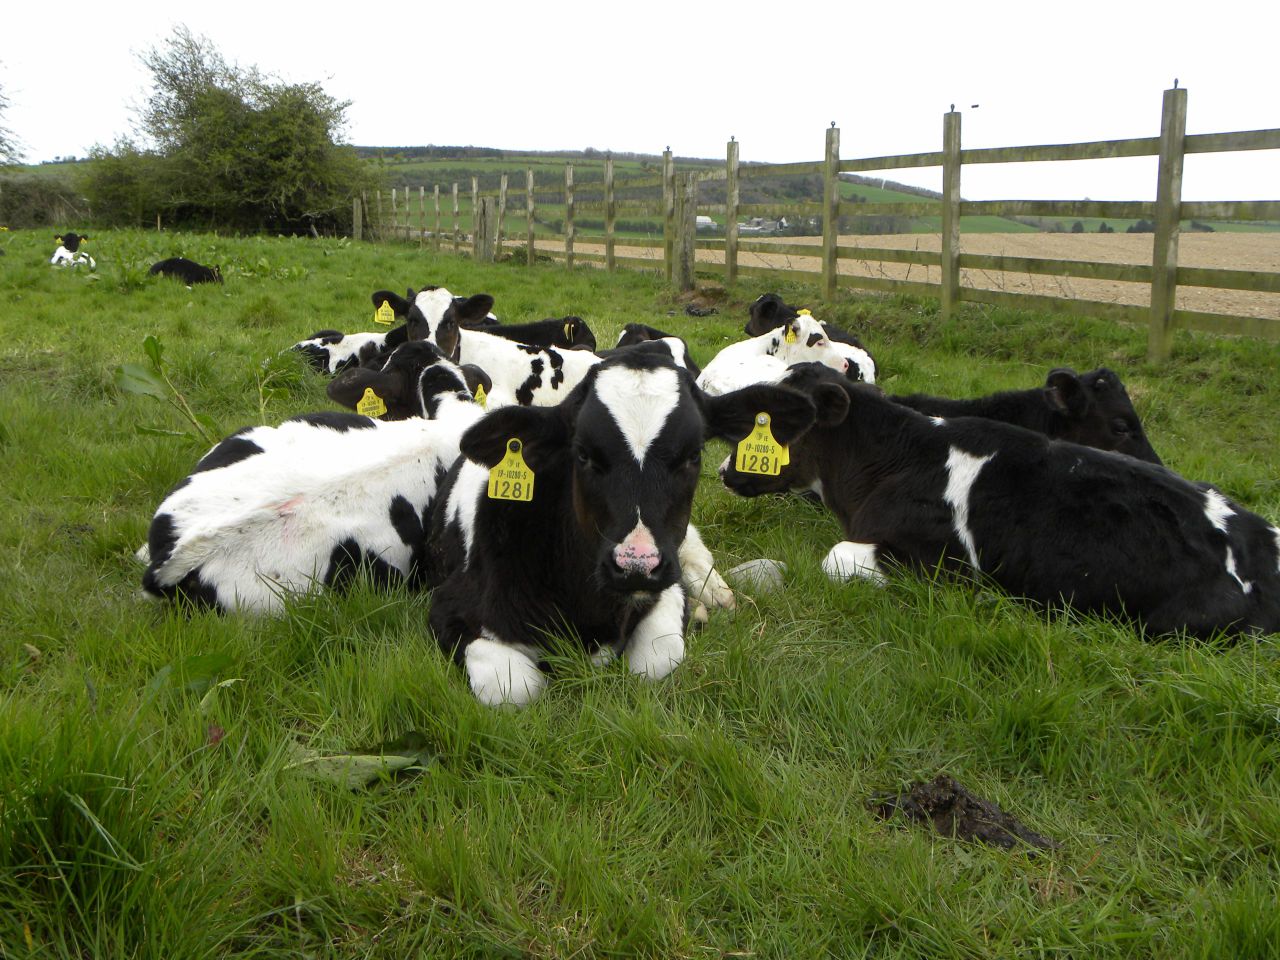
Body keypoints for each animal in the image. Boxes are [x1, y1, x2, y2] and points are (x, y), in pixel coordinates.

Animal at [425, 351, 818, 706]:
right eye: (583, 454)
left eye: (693, 455)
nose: (636, 565)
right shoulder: (450, 608)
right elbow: (515, 689)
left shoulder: (665, 585)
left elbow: (656, 661)